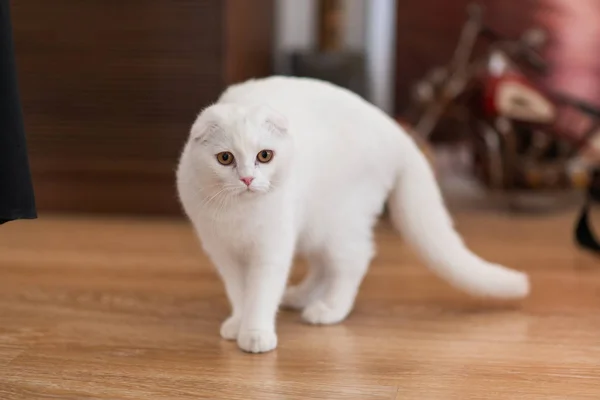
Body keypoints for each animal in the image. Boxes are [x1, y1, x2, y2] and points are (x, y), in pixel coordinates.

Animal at [175, 77, 528, 354]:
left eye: (265, 156)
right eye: (225, 158)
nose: (247, 179)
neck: (238, 214)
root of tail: (397, 132)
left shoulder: (271, 249)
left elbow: (260, 292)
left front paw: (256, 332)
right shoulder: (223, 253)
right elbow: (239, 292)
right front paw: (238, 322)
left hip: (337, 225)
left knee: (353, 262)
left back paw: (329, 309)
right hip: (314, 228)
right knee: (322, 268)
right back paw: (299, 297)